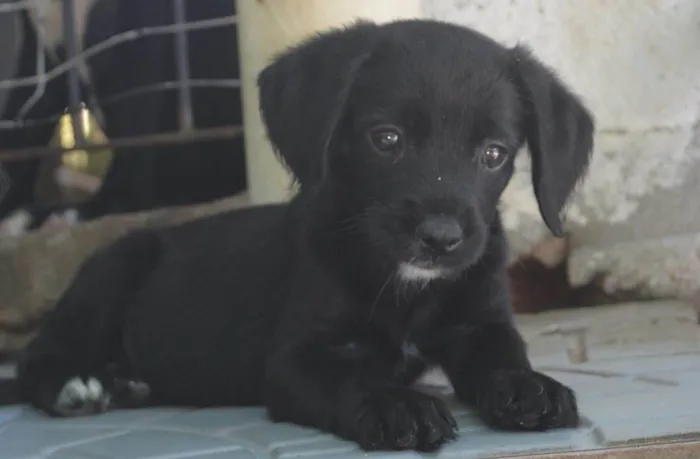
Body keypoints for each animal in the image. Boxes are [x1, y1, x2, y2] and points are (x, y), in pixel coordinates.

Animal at [12, 18, 592, 452]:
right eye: (387, 139)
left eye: (494, 154)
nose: (441, 238)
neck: (406, 283)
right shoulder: (297, 359)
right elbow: (351, 378)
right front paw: (395, 403)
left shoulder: (480, 322)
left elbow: (502, 355)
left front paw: (528, 386)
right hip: (114, 267)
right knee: (33, 358)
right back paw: (78, 384)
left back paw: (126, 382)